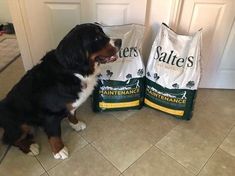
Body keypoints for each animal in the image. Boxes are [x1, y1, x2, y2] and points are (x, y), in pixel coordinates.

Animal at [0, 23, 121, 160]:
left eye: (103, 33)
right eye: (96, 38)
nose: (119, 41)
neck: (75, 71)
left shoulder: (70, 105)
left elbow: (72, 113)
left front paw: (76, 124)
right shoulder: (50, 114)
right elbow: (54, 135)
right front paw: (59, 150)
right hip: (20, 125)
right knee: (10, 140)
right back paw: (30, 147)